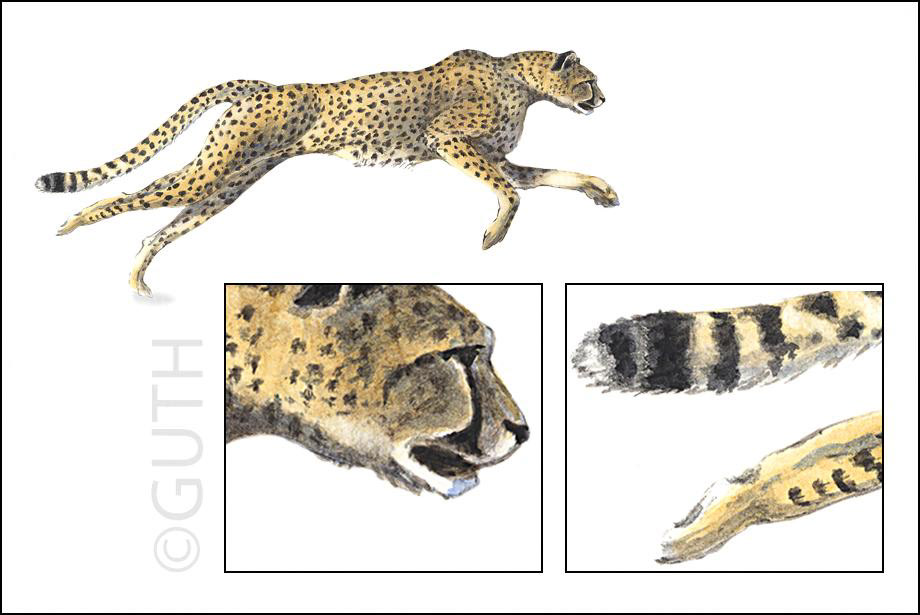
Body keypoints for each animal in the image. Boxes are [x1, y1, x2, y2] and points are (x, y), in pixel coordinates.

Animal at [35, 50, 616, 295]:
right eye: (588, 80)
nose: (603, 99)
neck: (523, 80)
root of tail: (267, 86)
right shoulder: (448, 140)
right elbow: (513, 196)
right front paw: (493, 235)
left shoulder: (496, 157)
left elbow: (550, 176)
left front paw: (601, 190)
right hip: (215, 171)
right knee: (130, 194)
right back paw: (75, 221)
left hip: (225, 183)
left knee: (158, 215)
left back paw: (136, 276)